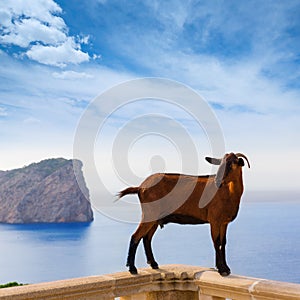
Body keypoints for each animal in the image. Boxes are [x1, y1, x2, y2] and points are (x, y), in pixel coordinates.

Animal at [118, 154, 250, 276]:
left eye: (232, 164)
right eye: (220, 164)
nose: (217, 181)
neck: (228, 193)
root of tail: (140, 187)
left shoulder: (224, 222)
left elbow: (223, 242)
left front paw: (226, 268)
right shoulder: (214, 220)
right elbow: (216, 242)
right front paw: (221, 269)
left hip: (154, 218)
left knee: (146, 238)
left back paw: (153, 264)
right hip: (149, 213)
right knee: (135, 236)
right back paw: (132, 268)